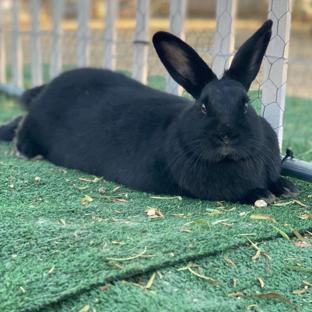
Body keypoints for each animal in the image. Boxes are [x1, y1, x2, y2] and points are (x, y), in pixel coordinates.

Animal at [0, 20, 298, 204]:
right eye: (203, 106)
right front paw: (263, 194)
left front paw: (286, 187)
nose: (227, 136)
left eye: (245, 103)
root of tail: (46, 90)